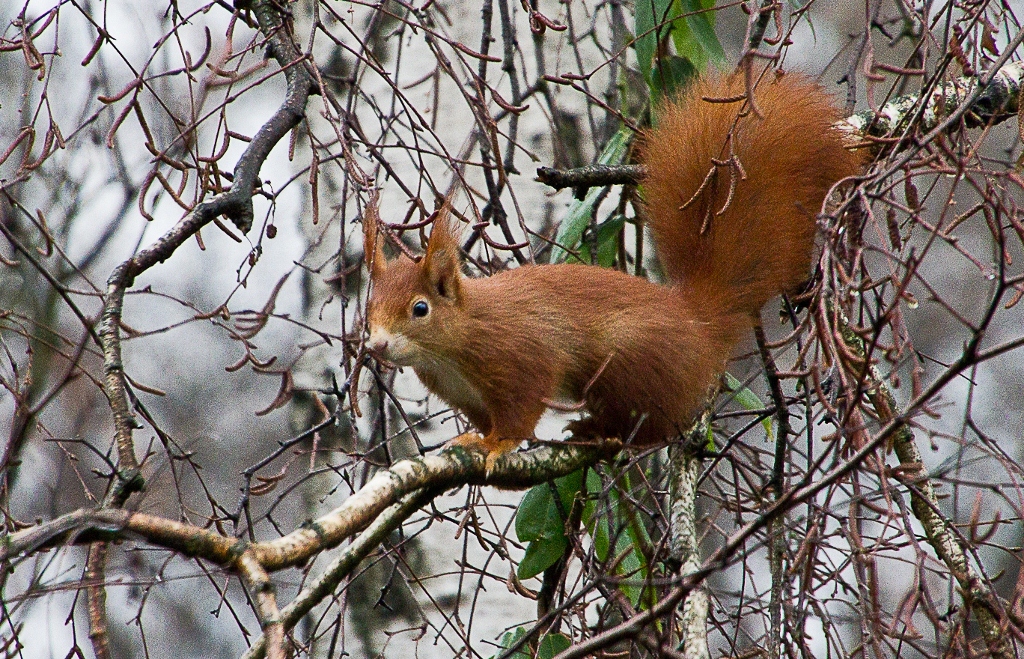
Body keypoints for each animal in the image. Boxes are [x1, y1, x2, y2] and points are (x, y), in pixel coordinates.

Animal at [362, 75, 864, 468]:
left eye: (420, 309)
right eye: (368, 309)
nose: (376, 345)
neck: (452, 346)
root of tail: (697, 321)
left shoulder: (520, 358)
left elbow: (520, 413)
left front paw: (498, 444)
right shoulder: (466, 394)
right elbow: (483, 420)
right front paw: (475, 437)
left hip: (628, 361)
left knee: (654, 425)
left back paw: (607, 431)